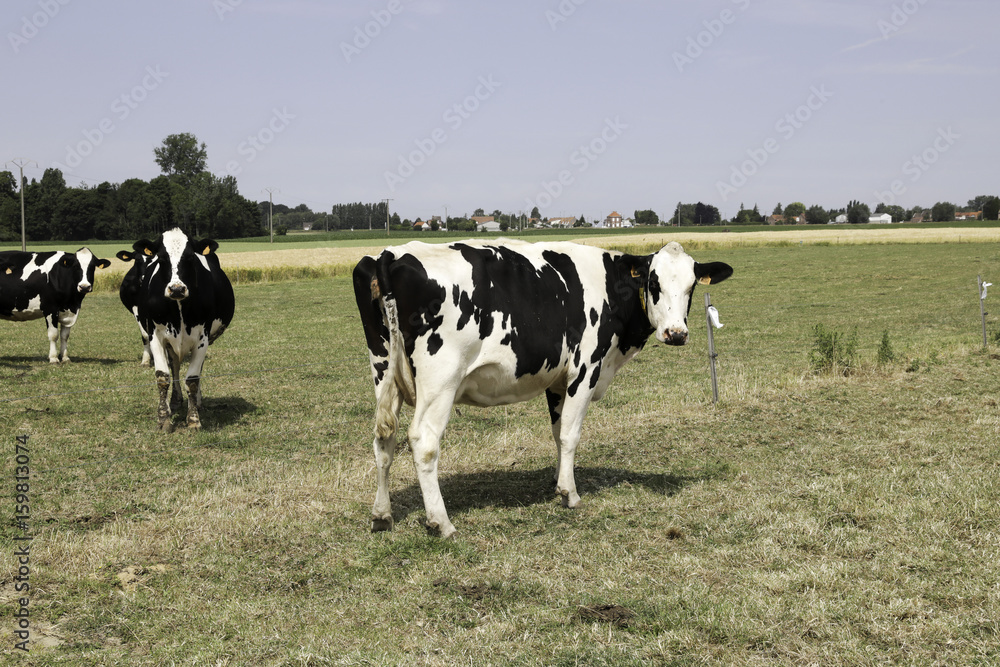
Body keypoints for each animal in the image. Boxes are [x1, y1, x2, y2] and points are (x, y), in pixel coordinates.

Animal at [128, 227, 235, 430]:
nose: (176, 289)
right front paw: (164, 418)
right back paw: (175, 400)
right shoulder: (155, 335)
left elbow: (192, 378)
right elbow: (163, 376)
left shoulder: (202, 338)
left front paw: (193, 419)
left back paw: (197, 402)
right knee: (175, 366)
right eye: (161, 258)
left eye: (190, 257)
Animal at [354, 240, 736, 536]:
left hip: (383, 370)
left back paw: (382, 515)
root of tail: (391, 253)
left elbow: (556, 431)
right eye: (653, 283)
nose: (676, 334)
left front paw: (558, 479)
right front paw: (569, 493)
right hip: (440, 380)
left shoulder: (557, 380)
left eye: (691, 286)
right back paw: (441, 522)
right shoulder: (586, 369)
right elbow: (570, 433)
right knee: (423, 442)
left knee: (384, 441)